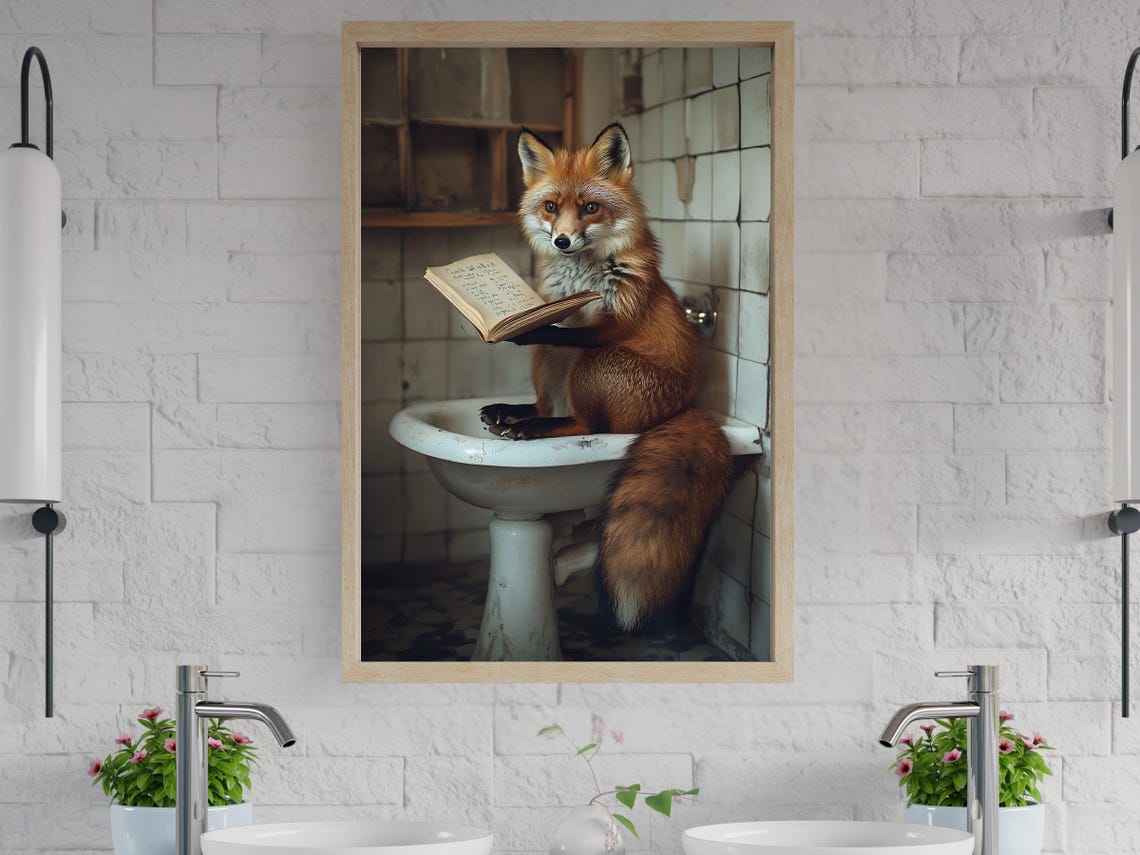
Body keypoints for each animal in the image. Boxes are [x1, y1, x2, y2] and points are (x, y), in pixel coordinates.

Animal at [478, 122, 733, 633]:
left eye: (591, 208)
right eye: (551, 207)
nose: (562, 241)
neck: (581, 279)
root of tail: (683, 408)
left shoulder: (614, 324)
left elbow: (565, 332)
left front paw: (533, 326)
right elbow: (557, 333)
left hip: (593, 367)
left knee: (587, 424)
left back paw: (531, 428)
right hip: (548, 366)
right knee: (548, 405)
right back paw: (513, 415)